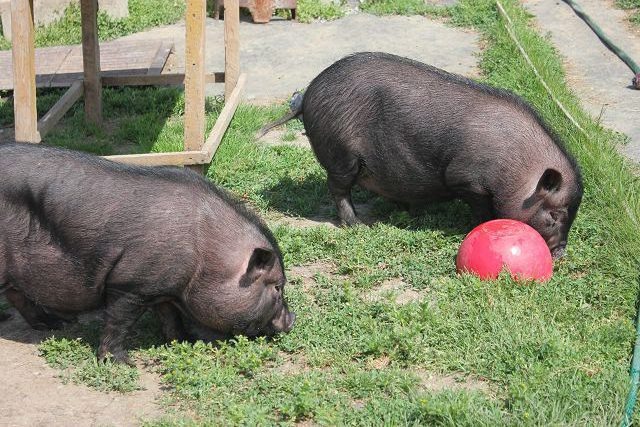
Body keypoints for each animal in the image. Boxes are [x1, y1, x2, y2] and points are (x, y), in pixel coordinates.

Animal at [0, 143, 296, 364]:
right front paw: (120, 362)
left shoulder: (163, 287)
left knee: (17, 295)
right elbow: (119, 322)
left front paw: (184, 341)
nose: (291, 320)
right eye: (277, 287)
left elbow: (170, 317)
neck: (207, 255)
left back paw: (56, 324)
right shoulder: (129, 283)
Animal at [262, 51, 584, 260]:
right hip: (341, 155)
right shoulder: (466, 179)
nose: (561, 253)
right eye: (555, 215)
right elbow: (480, 207)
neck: (516, 171)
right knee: (338, 189)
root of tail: (306, 96)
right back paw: (359, 225)